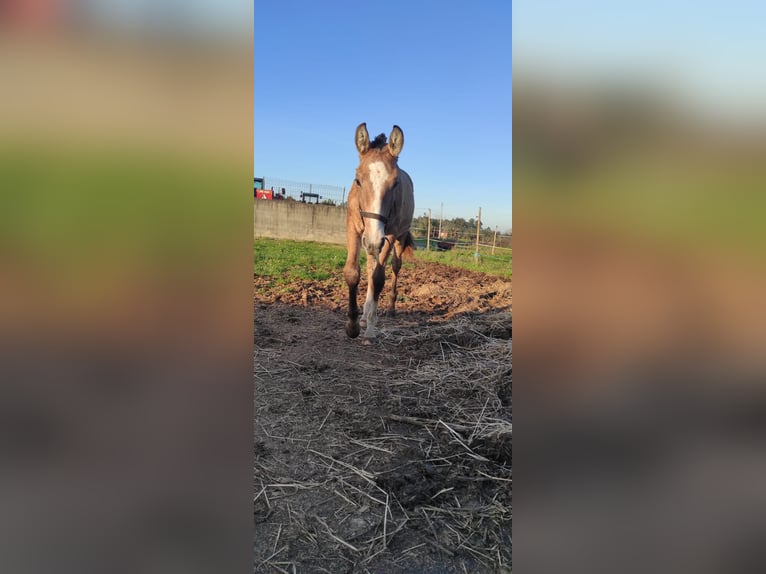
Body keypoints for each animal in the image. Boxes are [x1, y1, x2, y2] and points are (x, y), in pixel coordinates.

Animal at [344, 120, 414, 338]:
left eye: (395, 183)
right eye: (358, 180)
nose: (374, 240)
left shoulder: (388, 236)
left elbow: (378, 278)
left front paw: (371, 327)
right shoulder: (354, 228)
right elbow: (353, 272)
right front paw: (353, 325)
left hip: (397, 238)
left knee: (395, 267)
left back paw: (387, 309)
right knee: (369, 266)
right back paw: (364, 314)